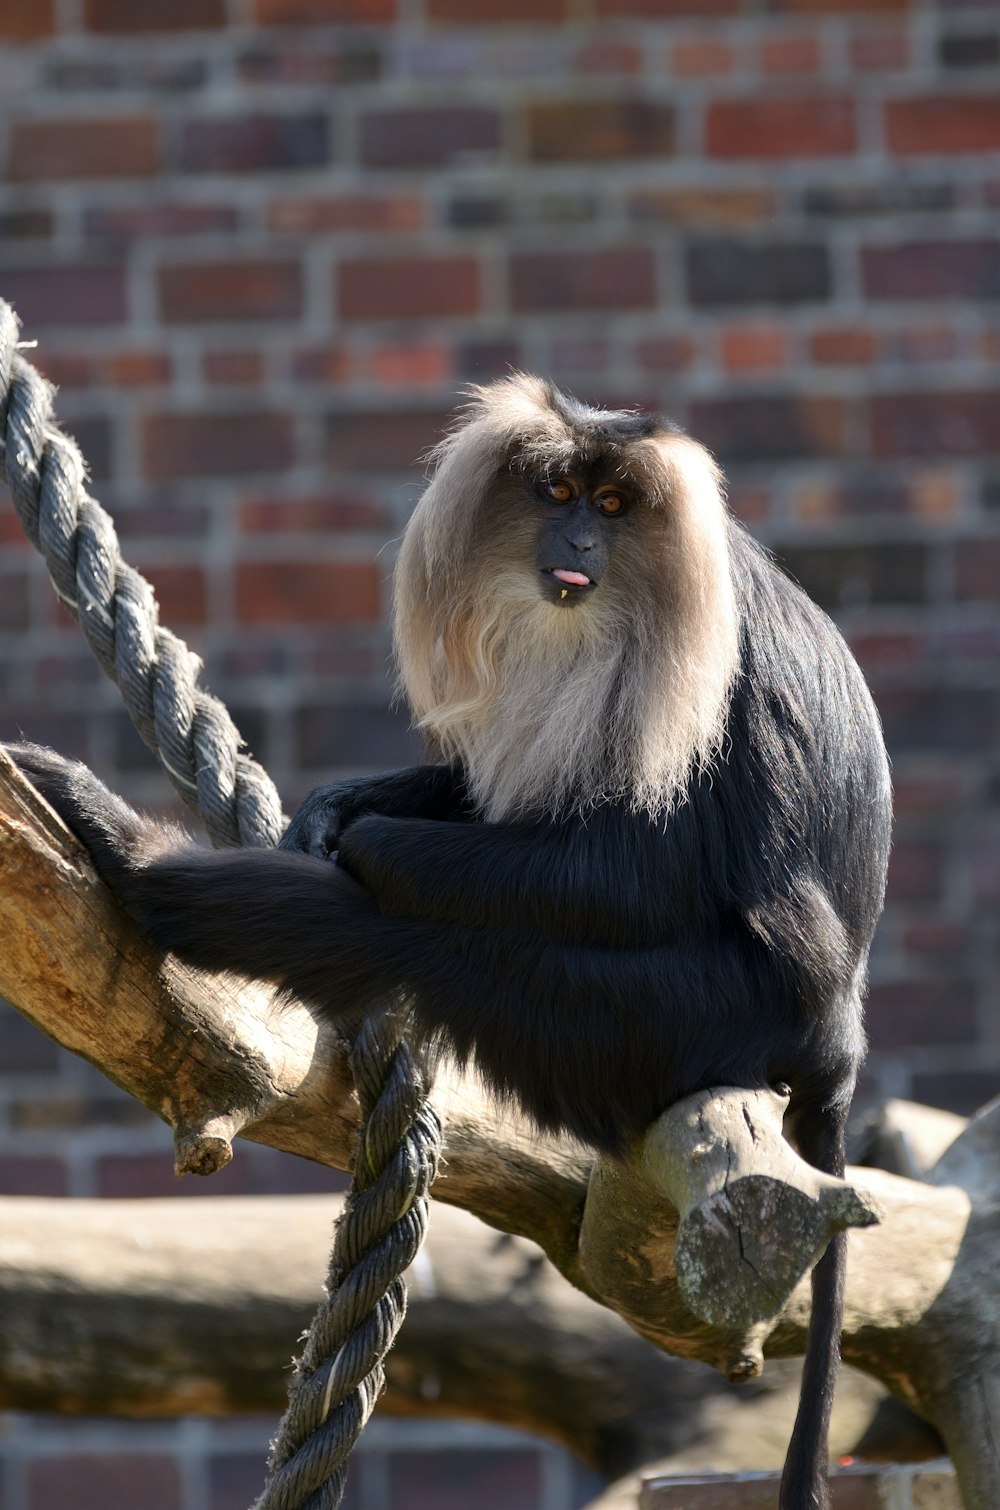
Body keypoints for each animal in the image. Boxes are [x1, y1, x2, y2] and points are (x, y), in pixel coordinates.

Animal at [7, 377, 894, 1510]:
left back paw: (131, 855)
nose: (574, 540)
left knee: (409, 939)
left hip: (679, 1016)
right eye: (558, 491)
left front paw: (364, 840)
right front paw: (340, 808)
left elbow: (638, 872)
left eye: (613, 505)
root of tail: (840, 1044)